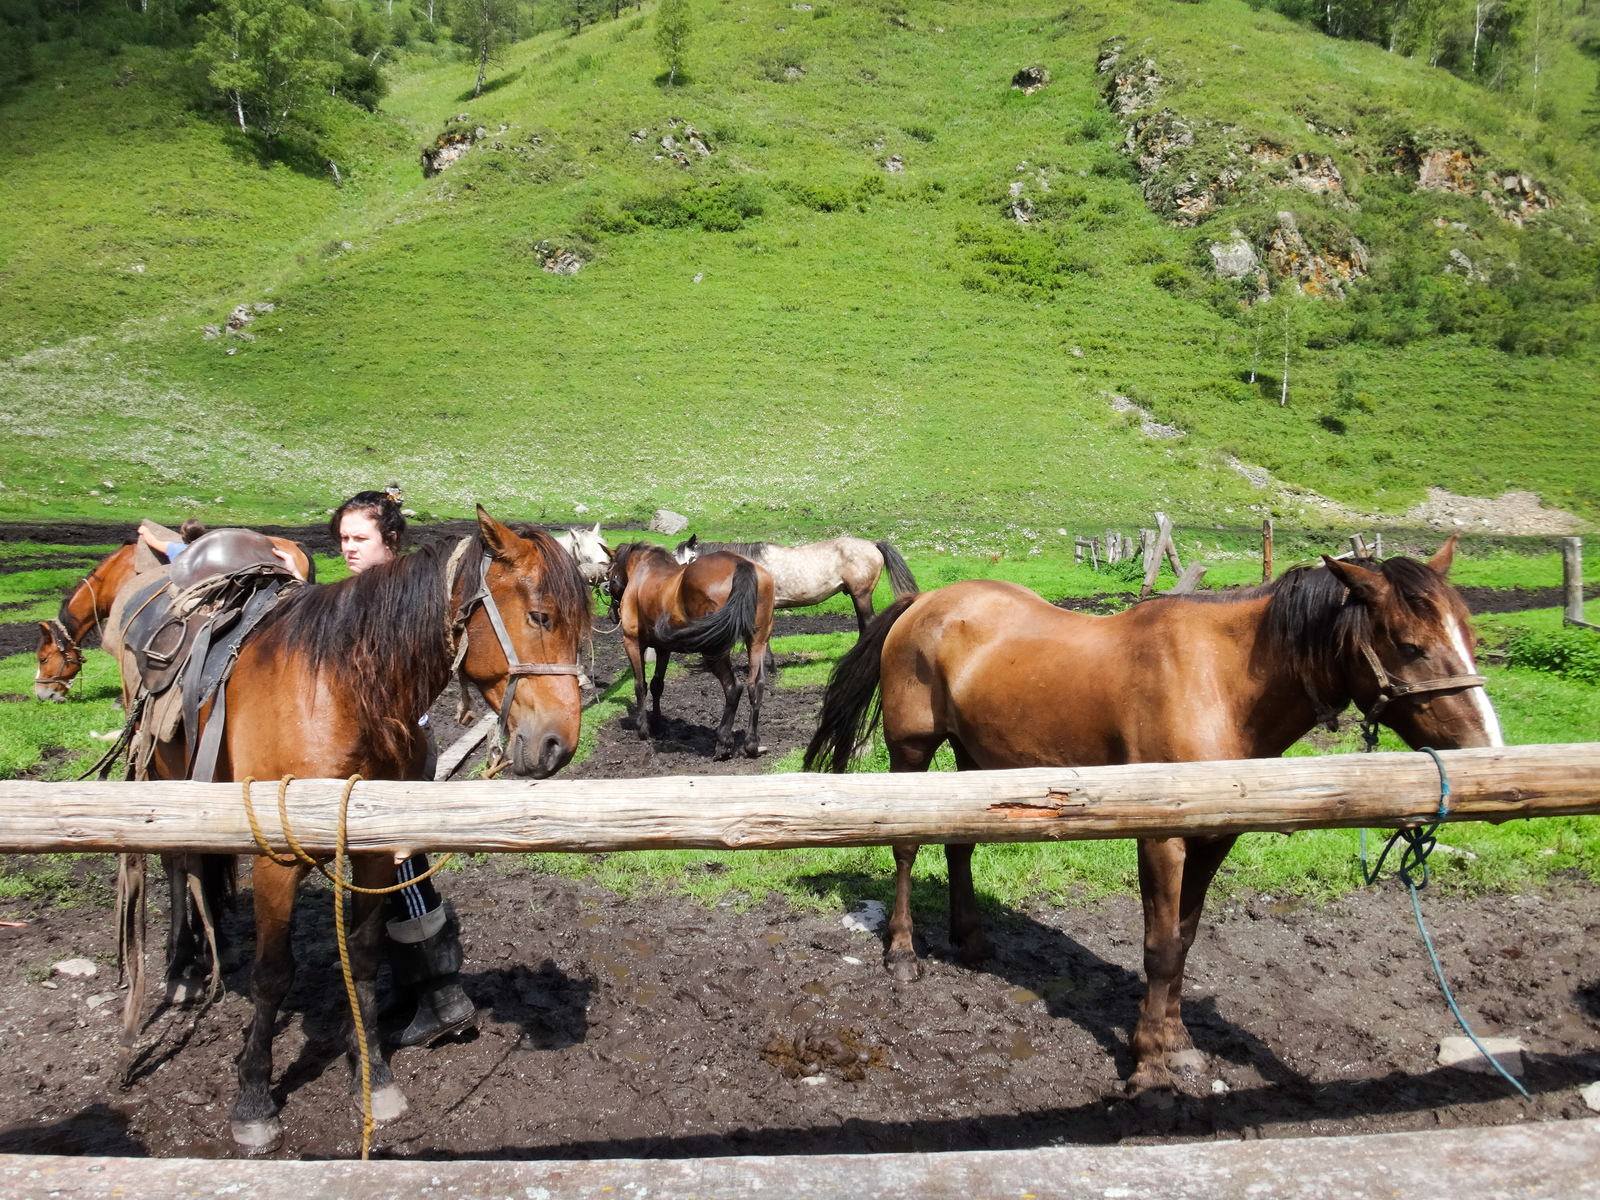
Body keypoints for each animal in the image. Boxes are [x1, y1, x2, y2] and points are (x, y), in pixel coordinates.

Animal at [106, 508, 595, 1158]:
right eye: (541, 617)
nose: (557, 745)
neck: (340, 691)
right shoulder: (277, 857)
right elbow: (273, 974)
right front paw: (253, 1099)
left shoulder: (374, 847)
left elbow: (363, 958)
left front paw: (373, 1074)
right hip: (162, 777)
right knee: (176, 863)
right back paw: (181, 970)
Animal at [604, 544, 774, 761]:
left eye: (609, 572)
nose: (611, 614)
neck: (643, 571)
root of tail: (741, 564)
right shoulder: (662, 648)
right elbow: (657, 685)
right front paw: (658, 726)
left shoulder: (632, 642)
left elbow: (640, 685)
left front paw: (643, 728)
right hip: (758, 641)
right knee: (755, 685)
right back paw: (751, 743)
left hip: (713, 649)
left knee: (733, 687)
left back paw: (723, 742)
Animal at [806, 544, 1504, 1100]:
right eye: (1410, 646)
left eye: (1470, 636)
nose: (1489, 754)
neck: (1220, 683)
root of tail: (924, 602)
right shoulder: (1160, 837)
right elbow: (1160, 948)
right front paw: (1148, 1065)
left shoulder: (1215, 836)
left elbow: (1185, 942)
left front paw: (1178, 1041)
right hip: (913, 749)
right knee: (905, 846)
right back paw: (902, 952)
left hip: (981, 760)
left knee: (960, 845)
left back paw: (972, 940)